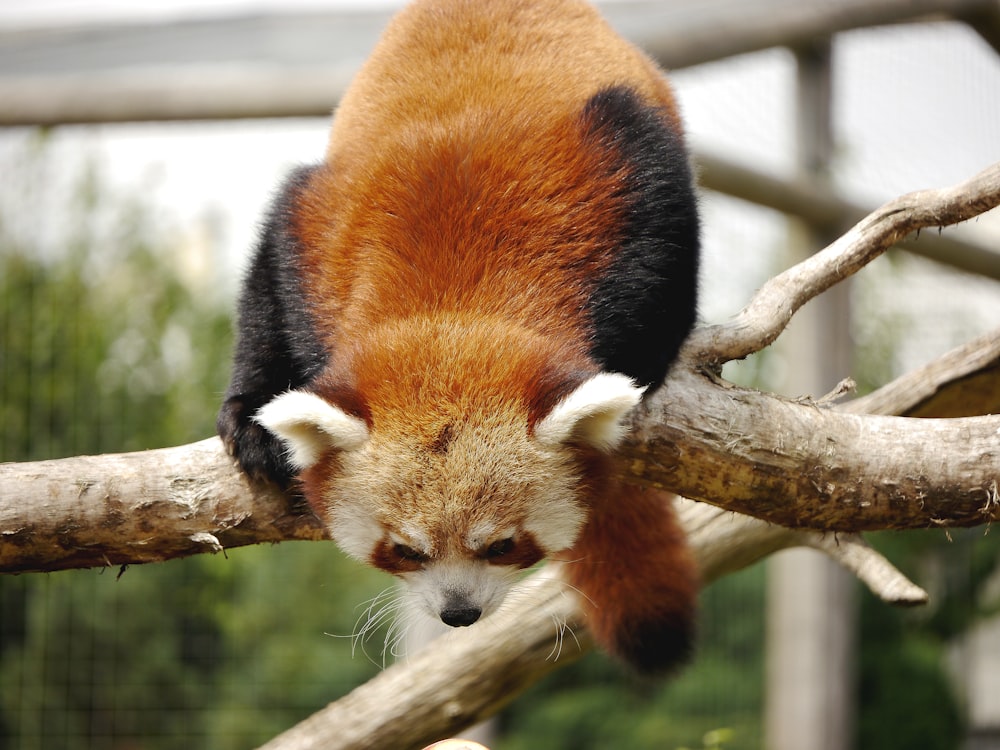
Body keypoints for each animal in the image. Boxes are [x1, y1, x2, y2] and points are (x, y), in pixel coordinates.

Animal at [217, 0, 704, 676]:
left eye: (502, 544)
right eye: (405, 549)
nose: (458, 613)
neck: (449, 301)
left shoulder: (626, 170)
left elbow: (666, 256)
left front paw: (636, 375)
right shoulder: (318, 227)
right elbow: (265, 291)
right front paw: (253, 419)